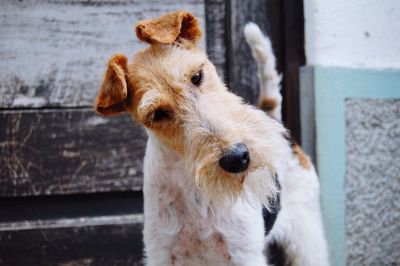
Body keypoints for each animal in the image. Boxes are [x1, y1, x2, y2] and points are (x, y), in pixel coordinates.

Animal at [94, 10, 328, 266]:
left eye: (197, 76)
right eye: (157, 114)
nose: (236, 158)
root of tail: (272, 116)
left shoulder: (243, 253)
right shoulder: (163, 254)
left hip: (306, 232)